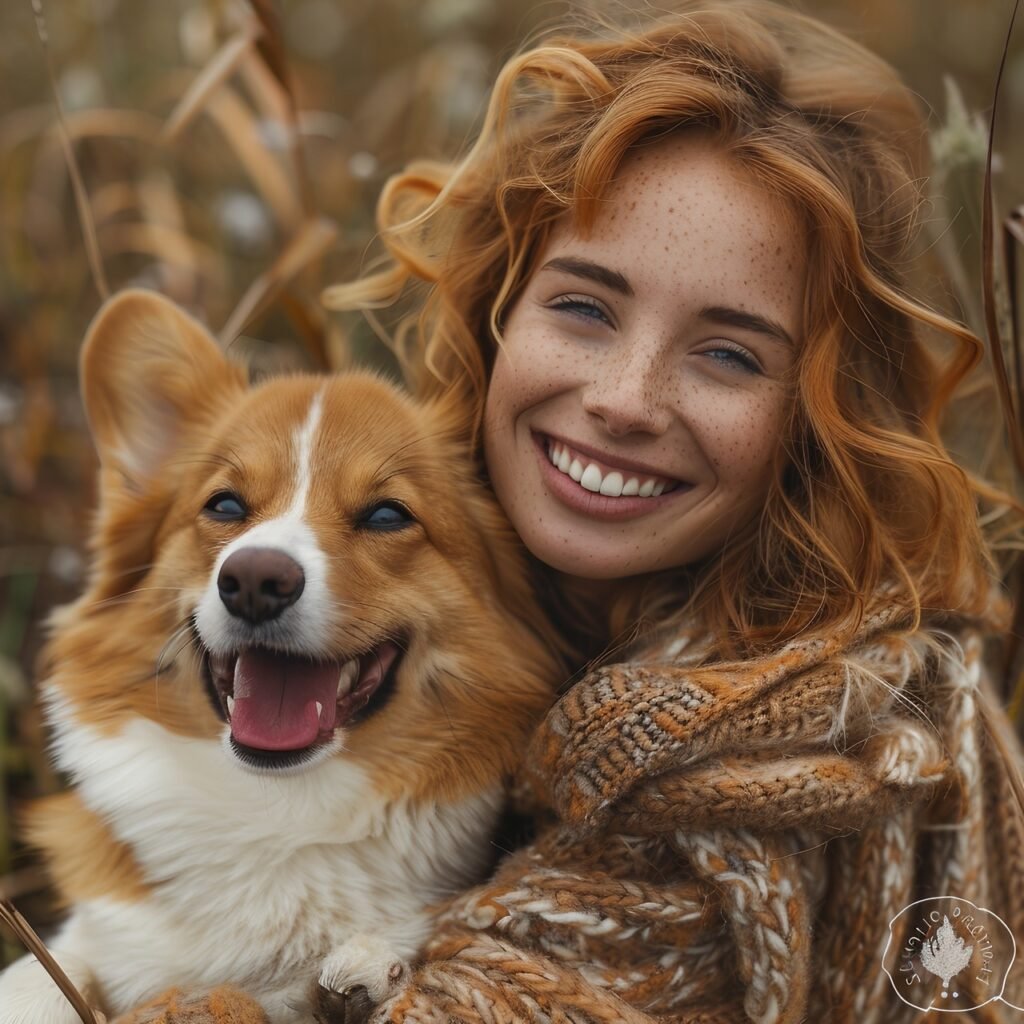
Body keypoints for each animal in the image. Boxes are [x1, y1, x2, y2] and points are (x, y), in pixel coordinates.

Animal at [0, 290, 561, 1024]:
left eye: (387, 516)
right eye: (225, 505)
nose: (254, 581)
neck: (276, 809)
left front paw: (369, 966)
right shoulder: (94, 938)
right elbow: (40, 979)